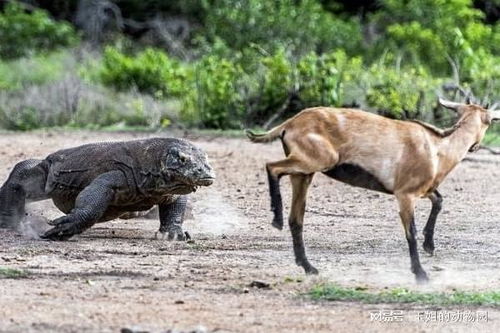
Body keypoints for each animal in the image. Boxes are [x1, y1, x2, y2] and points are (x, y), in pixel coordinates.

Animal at [246, 99, 500, 282]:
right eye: (489, 122)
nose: (475, 146)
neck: (437, 148)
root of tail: (289, 124)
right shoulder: (404, 194)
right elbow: (411, 233)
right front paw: (420, 273)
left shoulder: (423, 189)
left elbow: (439, 200)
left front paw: (429, 245)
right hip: (317, 160)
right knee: (272, 167)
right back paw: (276, 219)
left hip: (304, 174)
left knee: (296, 219)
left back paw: (308, 266)